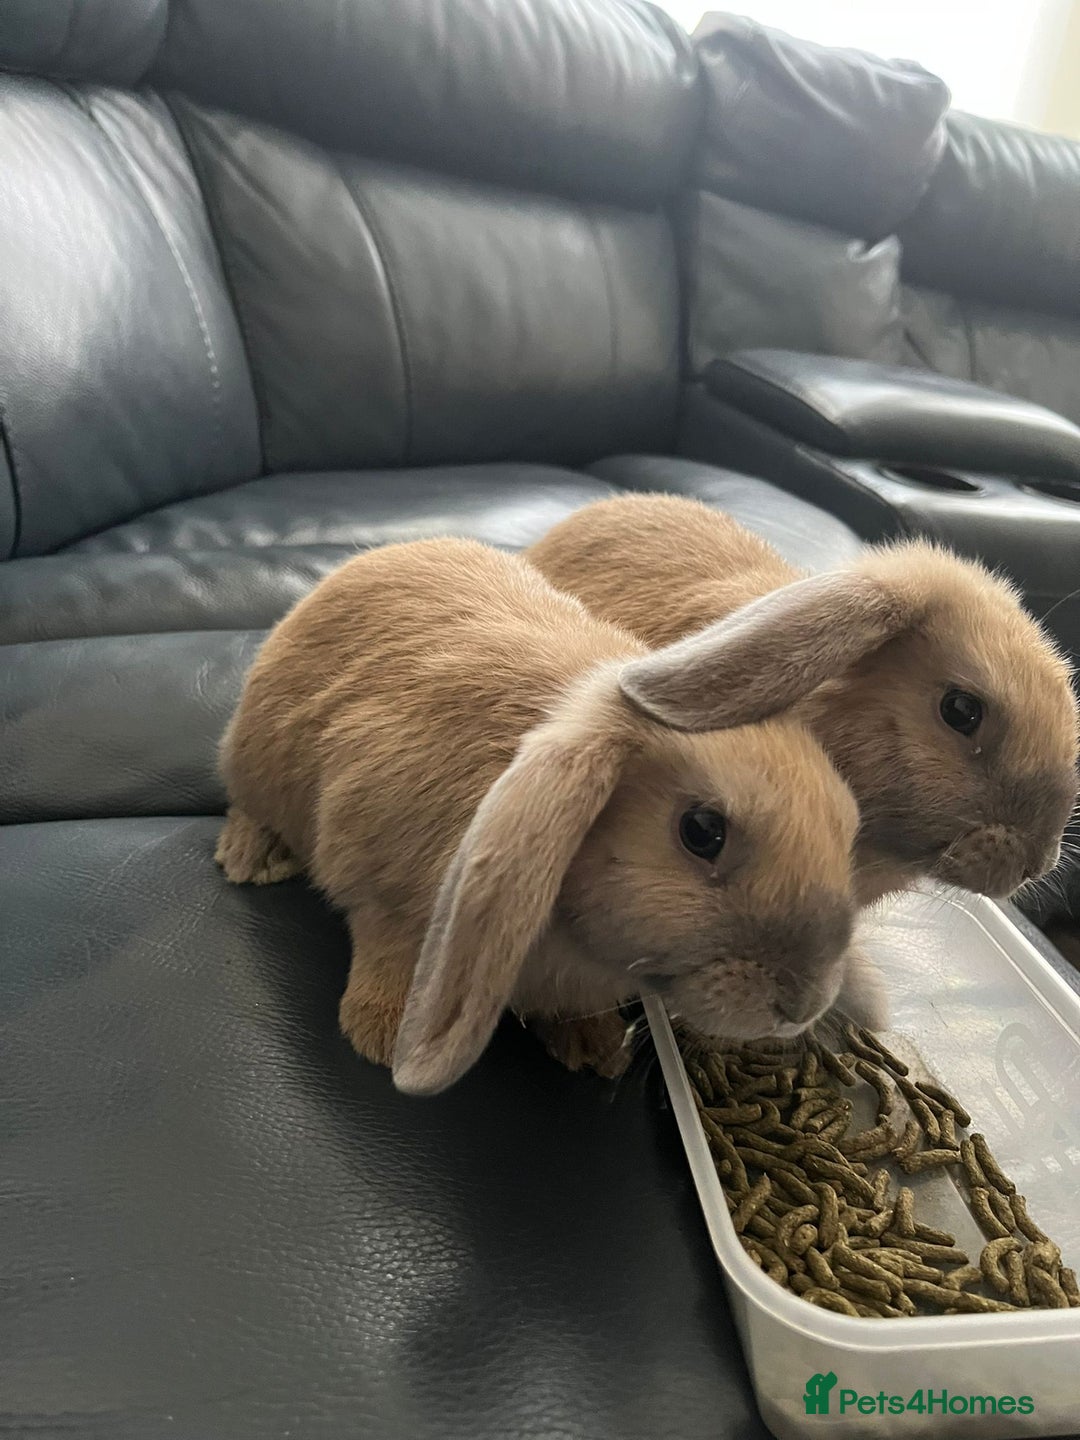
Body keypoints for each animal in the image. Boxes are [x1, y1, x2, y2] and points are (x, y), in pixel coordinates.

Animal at [212, 536, 911, 1096]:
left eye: (845, 828)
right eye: (701, 831)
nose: (804, 1005)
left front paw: (594, 1048)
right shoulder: (378, 878)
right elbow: (387, 944)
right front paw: (380, 1036)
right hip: (257, 757)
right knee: (248, 804)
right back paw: (251, 857)